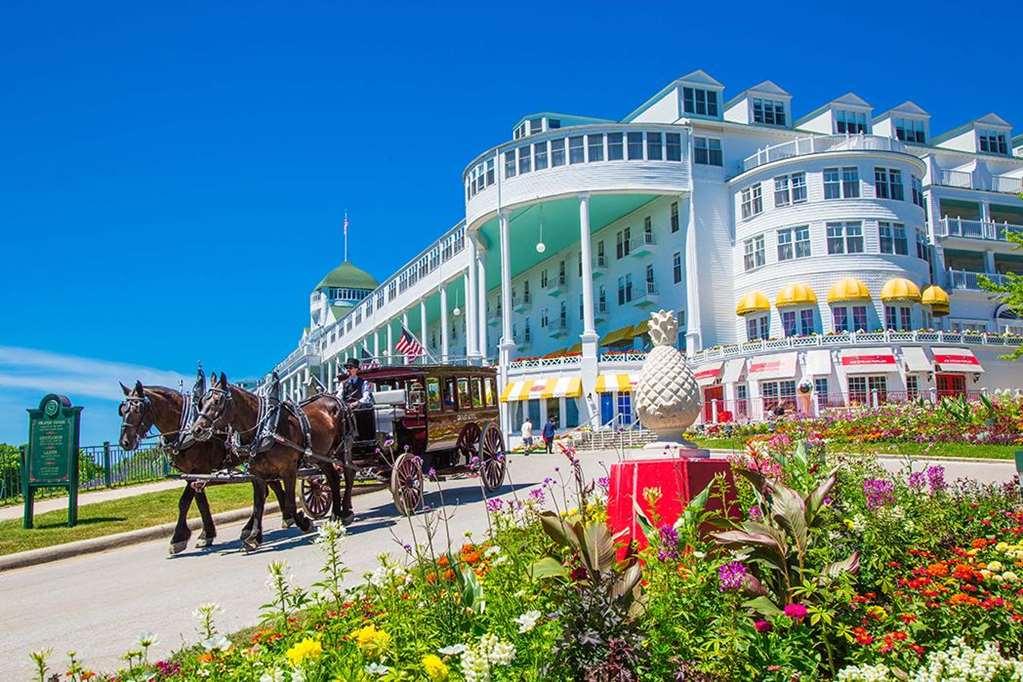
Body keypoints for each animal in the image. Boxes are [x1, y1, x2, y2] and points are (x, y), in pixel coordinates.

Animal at [120, 378, 298, 556]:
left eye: (138, 409)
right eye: (122, 411)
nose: (125, 442)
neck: (183, 426)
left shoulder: (200, 469)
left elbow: (184, 501)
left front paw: (178, 538)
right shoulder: (192, 474)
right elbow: (200, 502)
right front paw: (206, 534)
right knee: (271, 487)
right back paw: (270, 521)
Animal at [188, 370, 356, 552]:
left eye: (217, 401)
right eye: (201, 402)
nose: (196, 430)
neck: (266, 430)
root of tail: (334, 398)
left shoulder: (289, 470)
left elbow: (290, 503)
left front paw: (304, 523)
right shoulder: (258, 475)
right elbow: (258, 506)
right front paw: (253, 537)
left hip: (342, 448)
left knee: (349, 473)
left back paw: (346, 511)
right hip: (321, 456)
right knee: (333, 478)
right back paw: (335, 516)